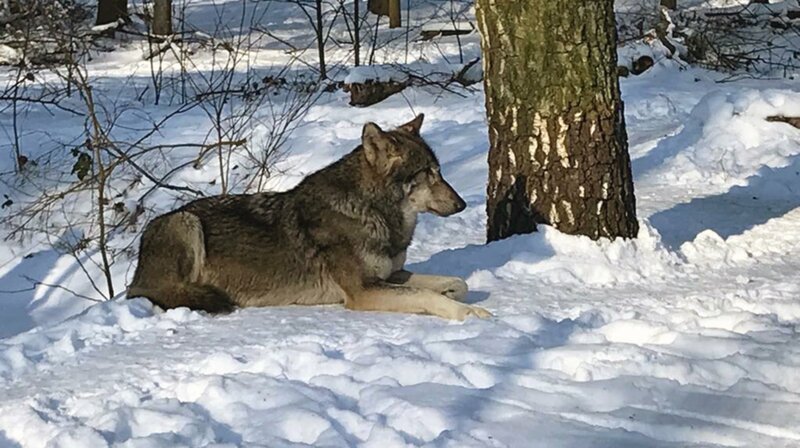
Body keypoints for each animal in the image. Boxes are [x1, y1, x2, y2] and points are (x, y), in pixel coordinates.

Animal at [128, 114, 491, 320]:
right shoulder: (363, 291)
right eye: (428, 174)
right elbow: (427, 296)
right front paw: (469, 313)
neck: (374, 213)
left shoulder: (392, 275)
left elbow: (455, 284)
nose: (462, 203)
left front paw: (457, 296)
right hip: (185, 223)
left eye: (439, 171)